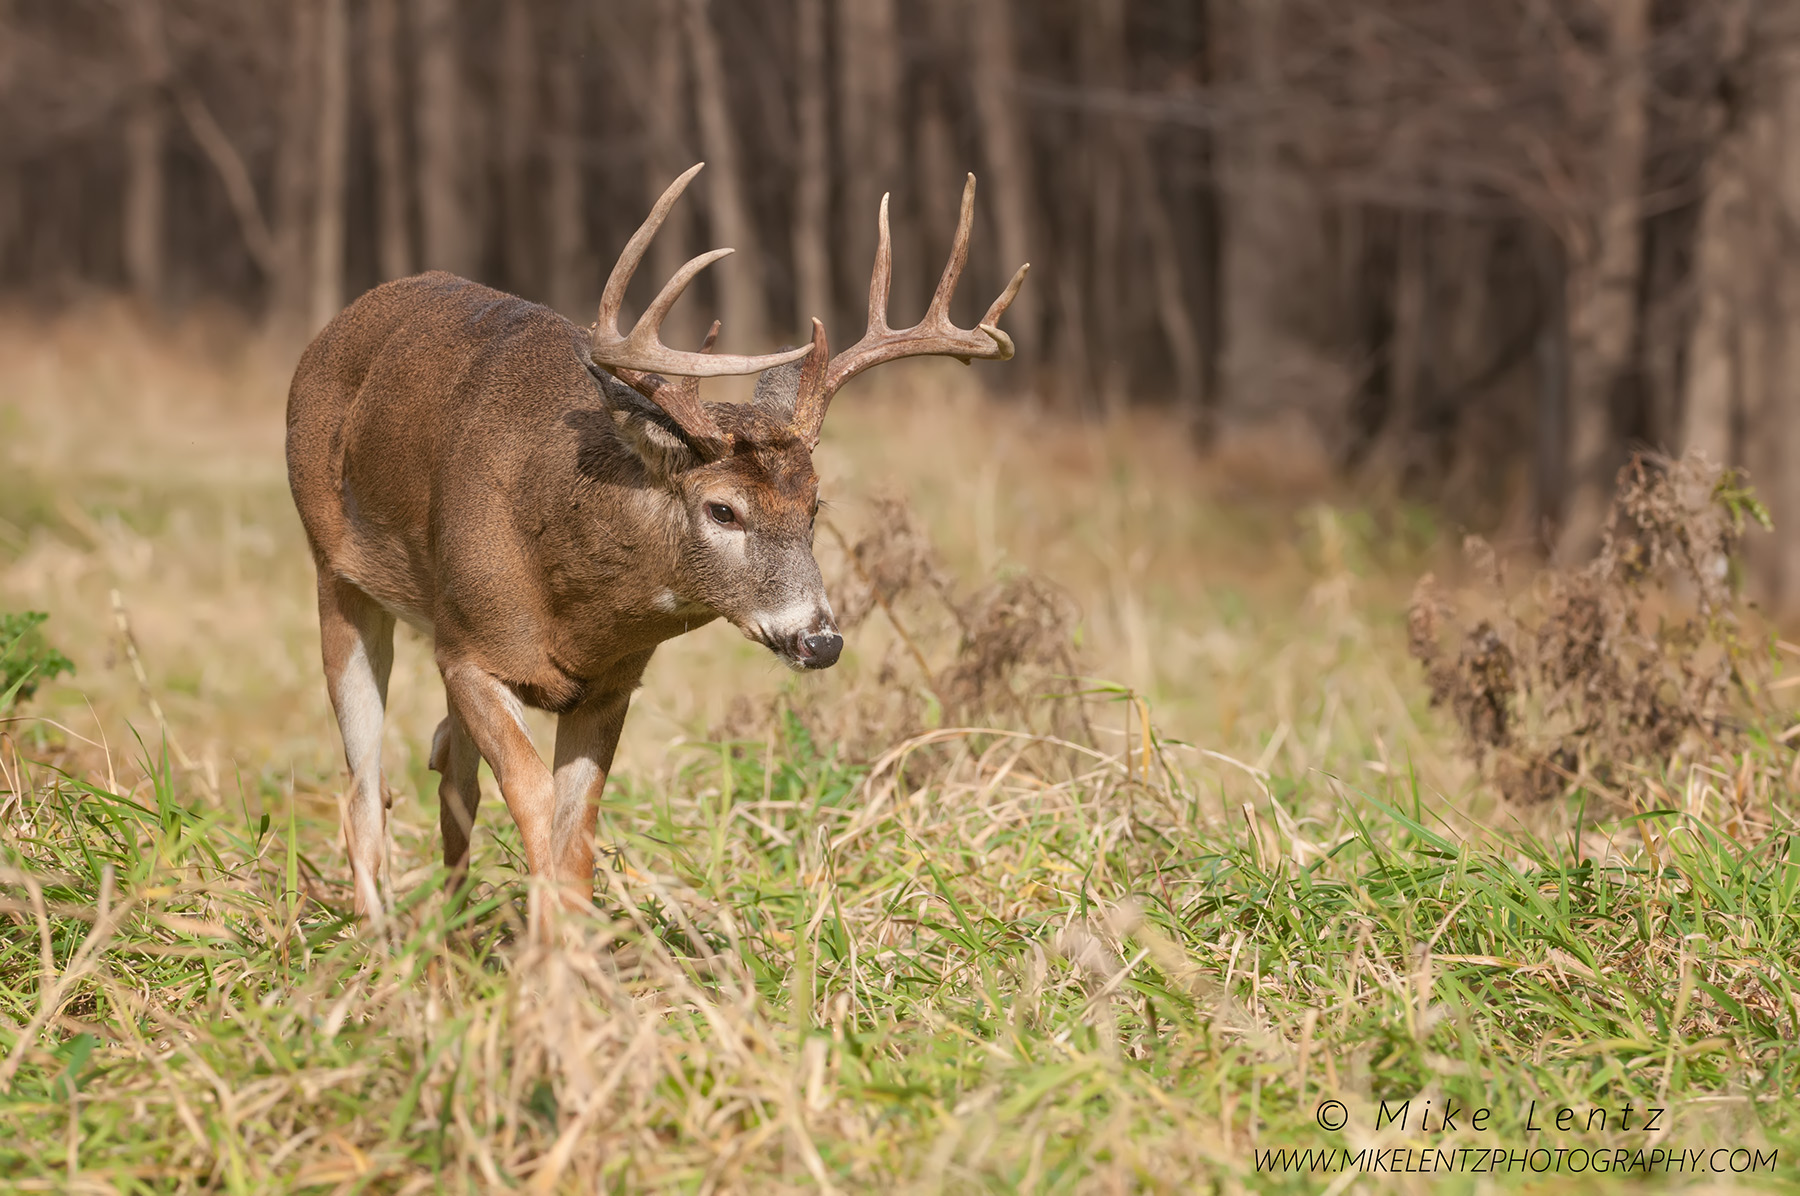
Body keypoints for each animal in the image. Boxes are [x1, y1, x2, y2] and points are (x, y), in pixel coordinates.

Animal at [289, 165, 1036, 915]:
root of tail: (340, 322)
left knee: (449, 771)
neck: (567, 601)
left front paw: (575, 938)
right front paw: (551, 945)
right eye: (723, 510)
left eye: (815, 506)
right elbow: (533, 800)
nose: (819, 640)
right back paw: (382, 931)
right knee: (363, 787)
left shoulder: (612, 682)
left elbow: (575, 835)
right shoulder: (470, 650)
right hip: (334, 571)